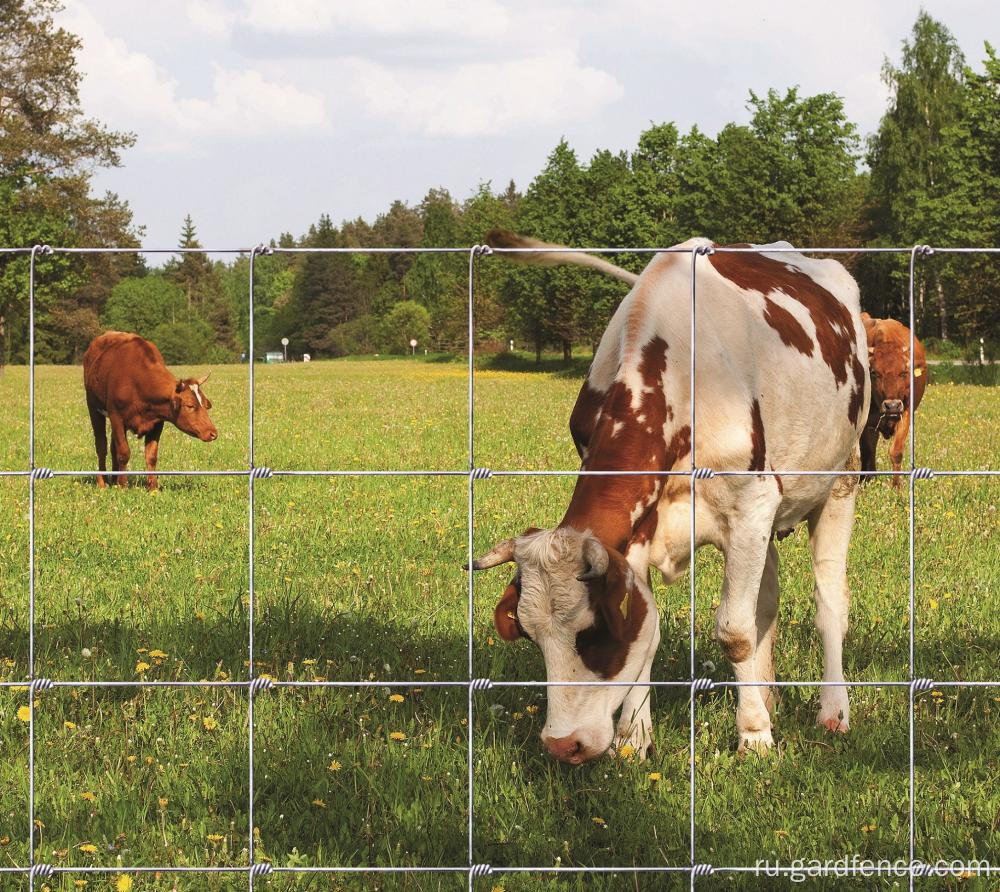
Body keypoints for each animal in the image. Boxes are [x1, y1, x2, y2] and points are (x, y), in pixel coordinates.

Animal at [83, 332, 218, 492]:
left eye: (205, 404)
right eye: (190, 405)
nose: (213, 433)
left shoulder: (157, 422)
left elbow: (151, 455)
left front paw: (153, 489)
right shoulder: (116, 417)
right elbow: (123, 452)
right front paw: (123, 486)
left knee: (112, 446)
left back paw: (114, 480)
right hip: (94, 407)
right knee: (101, 446)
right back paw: (102, 483)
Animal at [468, 228, 868, 760]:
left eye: (593, 633)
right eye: (532, 636)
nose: (561, 744)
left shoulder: (751, 503)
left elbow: (735, 631)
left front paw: (754, 737)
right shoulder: (637, 532)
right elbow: (657, 629)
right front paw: (633, 740)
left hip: (840, 480)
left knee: (829, 603)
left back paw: (832, 711)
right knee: (766, 602)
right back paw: (768, 697)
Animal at [860, 308, 928, 488]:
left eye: (904, 372)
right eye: (874, 372)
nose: (892, 406)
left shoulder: (905, 413)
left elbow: (896, 452)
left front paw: (896, 487)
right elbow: (867, 451)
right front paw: (864, 482)